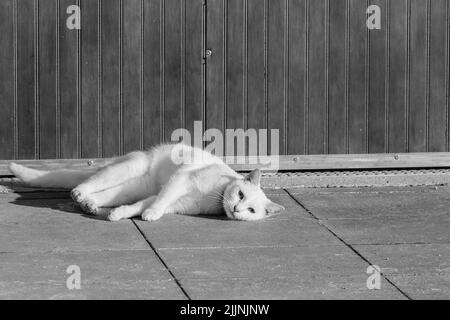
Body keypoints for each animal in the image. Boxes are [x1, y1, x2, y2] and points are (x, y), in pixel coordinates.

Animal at [7, 144, 284, 221]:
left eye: (251, 210)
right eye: (240, 194)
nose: (236, 209)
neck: (216, 198)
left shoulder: (175, 202)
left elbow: (144, 205)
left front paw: (121, 215)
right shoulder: (180, 180)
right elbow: (161, 199)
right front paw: (151, 215)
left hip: (133, 187)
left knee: (108, 195)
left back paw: (91, 205)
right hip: (129, 169)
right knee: (89, 182)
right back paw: (80, 193)